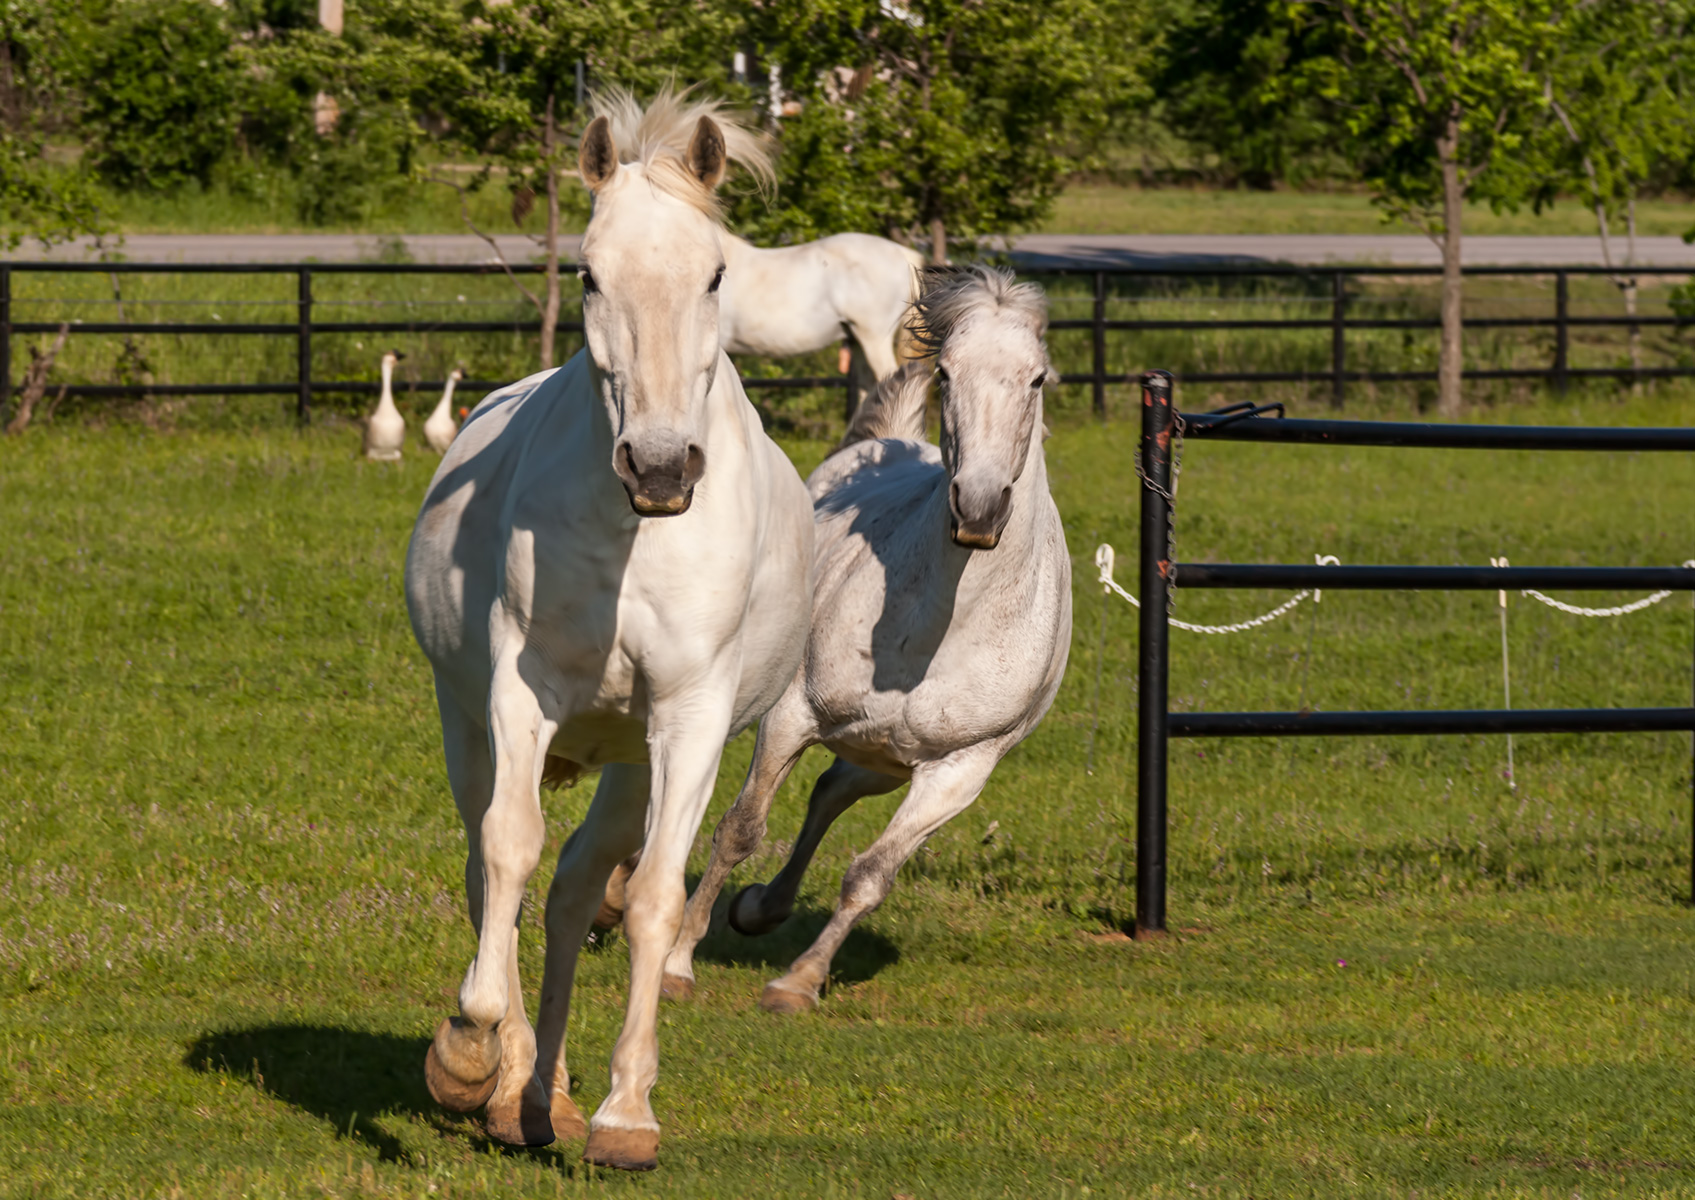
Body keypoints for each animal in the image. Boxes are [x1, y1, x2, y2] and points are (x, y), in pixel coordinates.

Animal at [403, 88, 815, 1172]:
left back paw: (546, 1097)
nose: (661, 466)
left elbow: (656, 899)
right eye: (589, 273)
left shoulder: (691, 717)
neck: (635, 535)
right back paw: (510, 1086)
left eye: (716, 273)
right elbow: (506, 851)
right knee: (497, 874)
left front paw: (627, 1115)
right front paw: (468, 1053)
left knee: (581, 889)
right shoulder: (520, 691)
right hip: (466, 723)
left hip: (633, 755)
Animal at [659, 266, 1072, 1013]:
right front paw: (676, 962)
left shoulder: (959, 771)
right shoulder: (792, 715)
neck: (939, 627)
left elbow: (870, 875)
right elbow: (739, 829)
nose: (979, 507)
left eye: (1037, 378)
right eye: (947, 372)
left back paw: (762, 909)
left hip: (886, 760)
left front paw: (798, 982)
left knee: (831, 789)